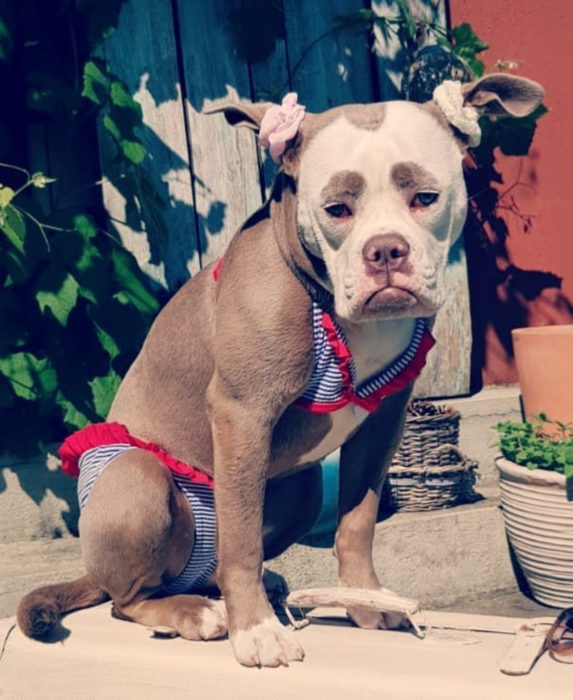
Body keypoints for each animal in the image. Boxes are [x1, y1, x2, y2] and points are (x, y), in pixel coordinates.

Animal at [17, 75, 544, 668]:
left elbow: (357, 522)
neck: (334, 306)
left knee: (198, 571)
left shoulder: (383, 423)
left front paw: (364, 599)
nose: (386, 251)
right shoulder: (244, 413)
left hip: (301, 489)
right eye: (336, 208)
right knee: (128, 597)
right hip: (138, 478)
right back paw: (195, 612)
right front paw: (257, 631)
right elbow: (241, 539)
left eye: (425, 198)